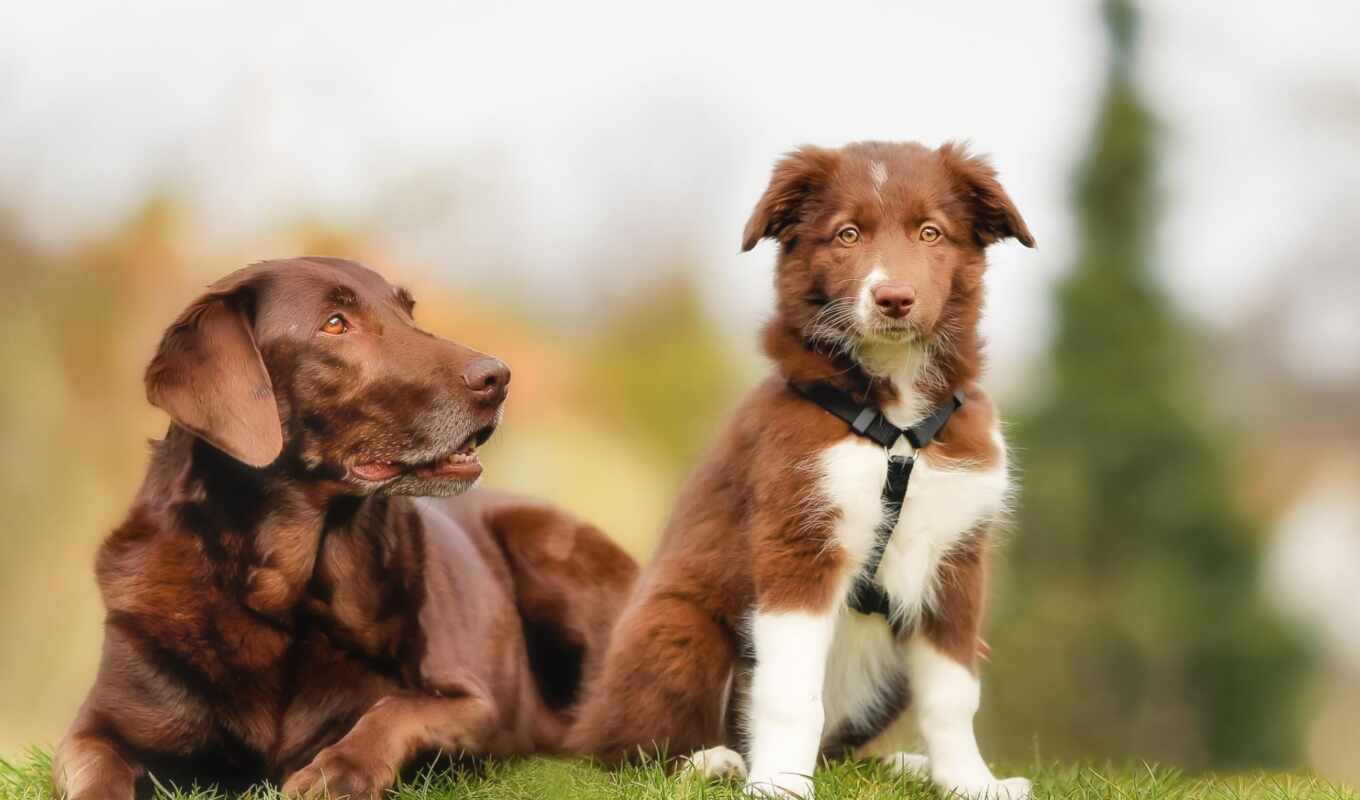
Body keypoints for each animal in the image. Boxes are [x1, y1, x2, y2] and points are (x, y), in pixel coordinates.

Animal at [55, 259, 639, 794]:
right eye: (335, 324)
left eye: (408, 311)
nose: (498, 376)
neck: (285, 598)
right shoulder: (94, 730)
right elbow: (97, 773)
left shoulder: (478, 705)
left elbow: (397, 707)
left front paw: (338, 770)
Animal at [571, 140, 1028, 794]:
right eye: (847, 234)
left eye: (930, 233)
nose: (894, 299)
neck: (896, 421)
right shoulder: (799, 541)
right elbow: (790, 691)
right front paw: (780, 783)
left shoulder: (956, 561)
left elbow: (952, 693)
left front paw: (970, 782)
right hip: (675, 626)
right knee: (620, 750)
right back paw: (712, 761)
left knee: (842, 751)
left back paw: (903, 765)